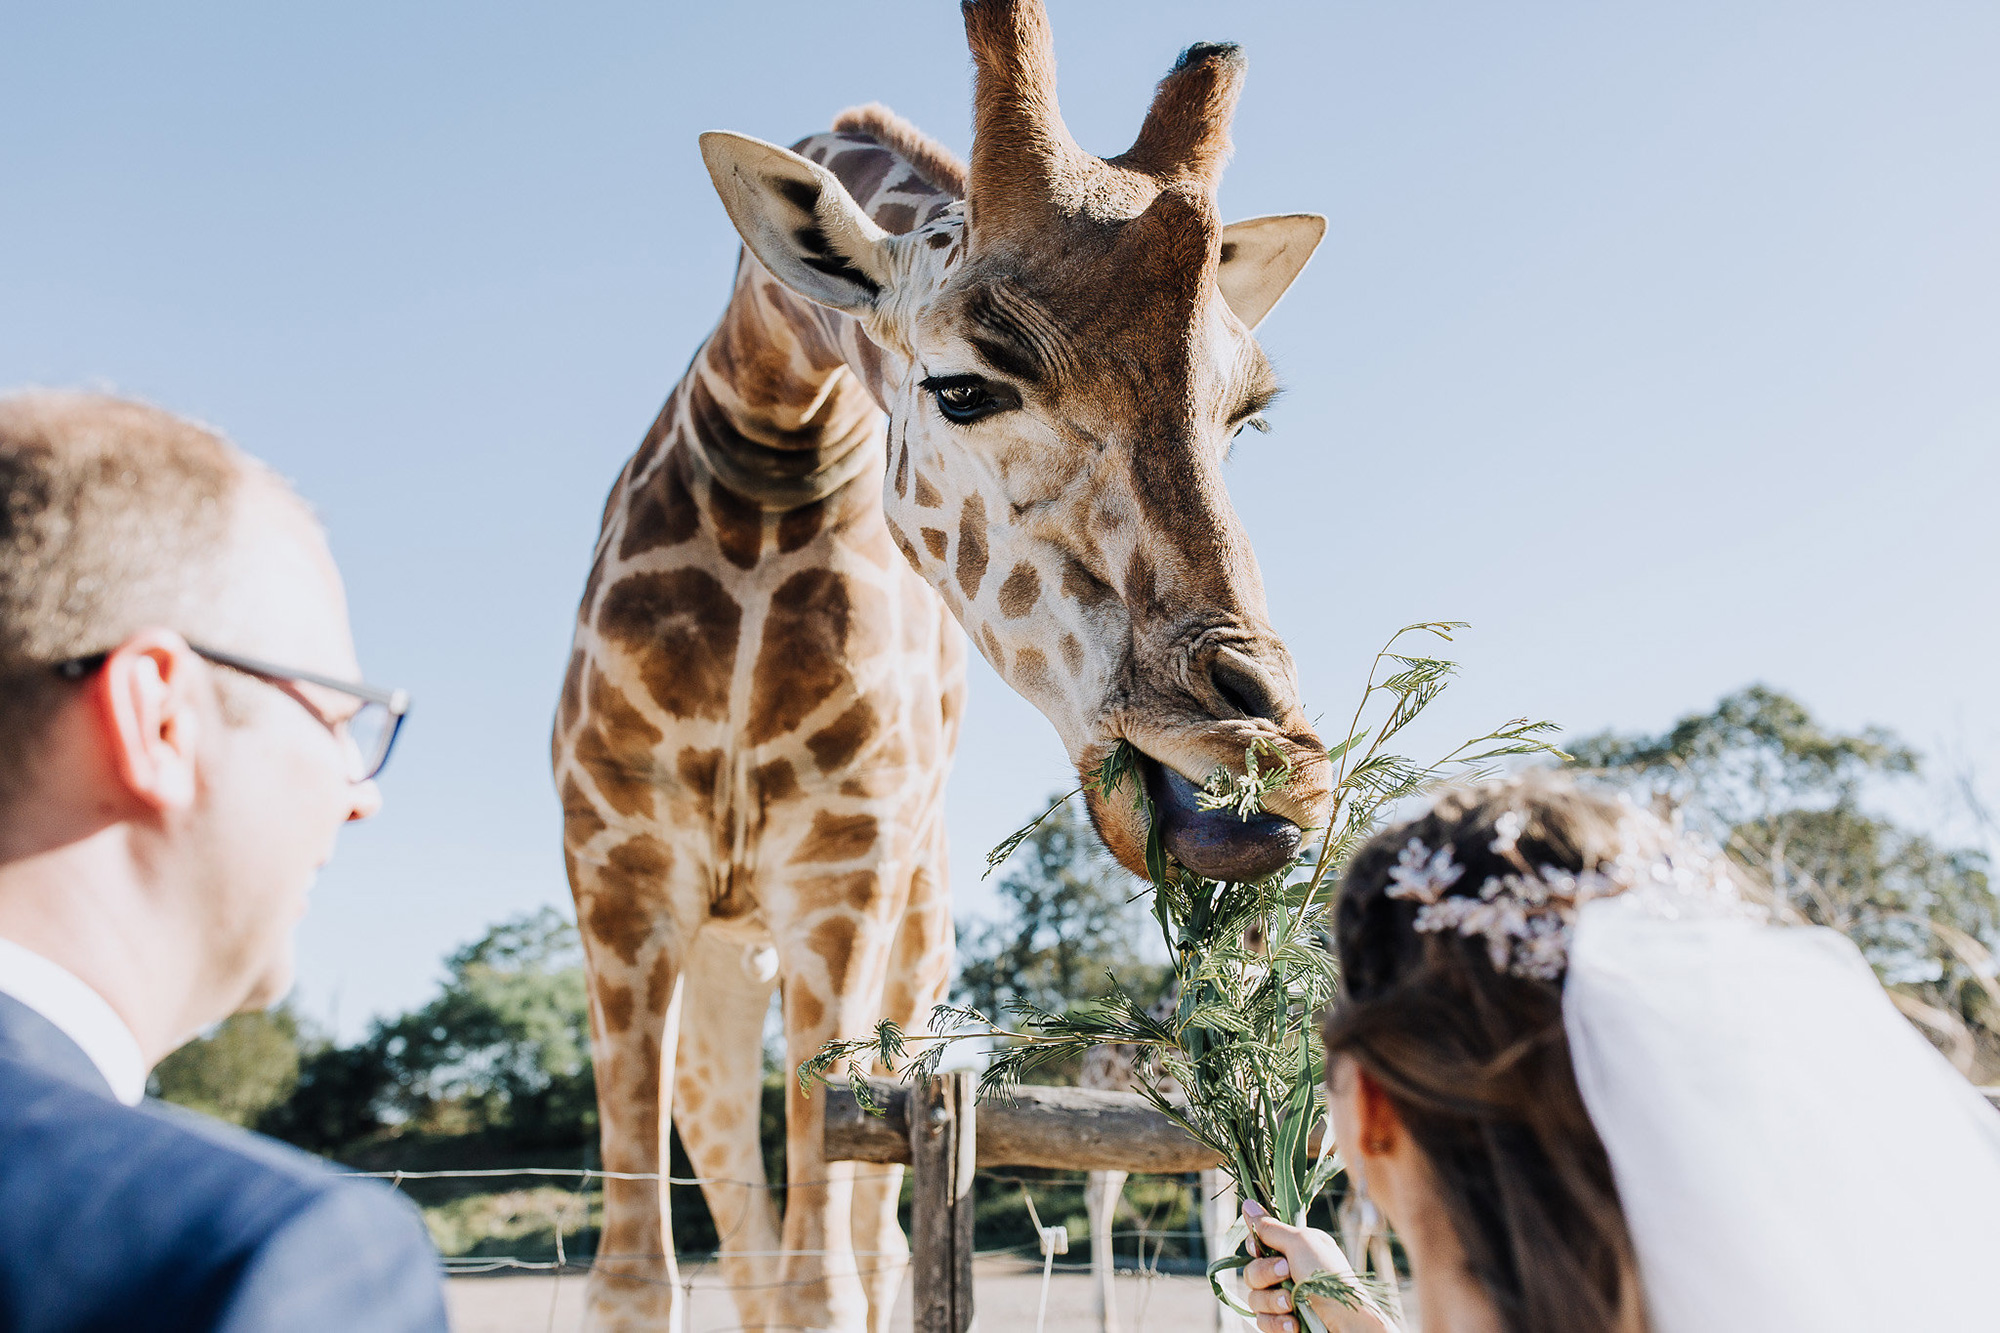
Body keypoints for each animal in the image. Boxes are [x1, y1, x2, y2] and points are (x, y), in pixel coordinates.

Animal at [556, 5, 1344, 1320]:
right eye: (963, 388)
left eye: (1244, 415)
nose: (1258, 769)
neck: (771, 448)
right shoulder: (619, 881)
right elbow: (638, 1278)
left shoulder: (841, 881)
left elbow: (831, 1278)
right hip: (724, 966)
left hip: (905, 963)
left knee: (870, 1238)